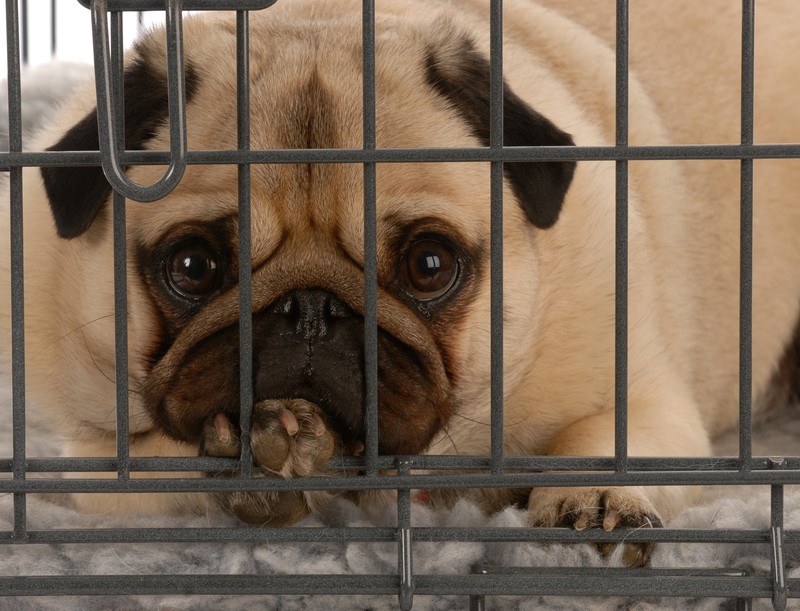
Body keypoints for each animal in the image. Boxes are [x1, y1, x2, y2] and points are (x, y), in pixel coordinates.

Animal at [1, 0, 800, 568]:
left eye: (429, 266)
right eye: (194, 267)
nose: (310, 309)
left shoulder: (645, 397)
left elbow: (604, 440)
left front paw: (597, 496)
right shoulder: (93, 465)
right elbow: (161, 464)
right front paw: (263, 460)